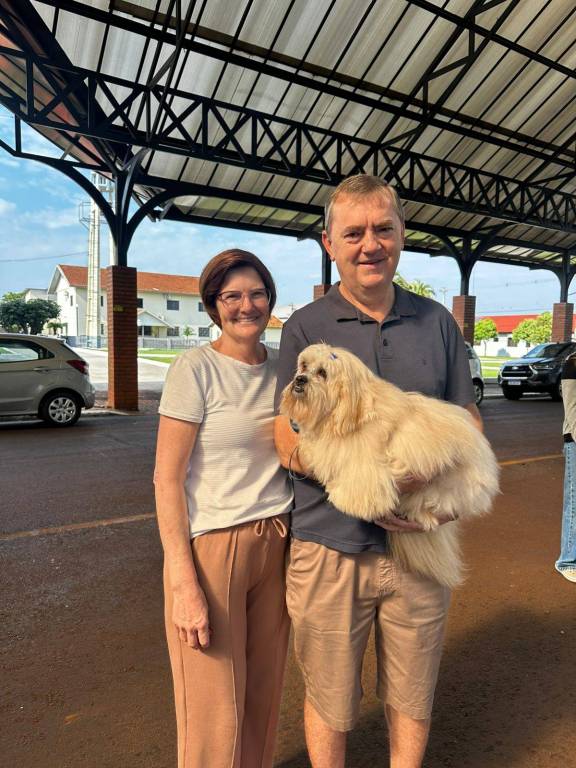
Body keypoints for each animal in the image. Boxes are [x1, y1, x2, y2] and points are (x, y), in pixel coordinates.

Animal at [280, 343, 500, 588]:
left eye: (322, 373)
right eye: (303, 366)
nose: (300, 379)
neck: (349, 411)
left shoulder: (365, 461)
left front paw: (348, 500)